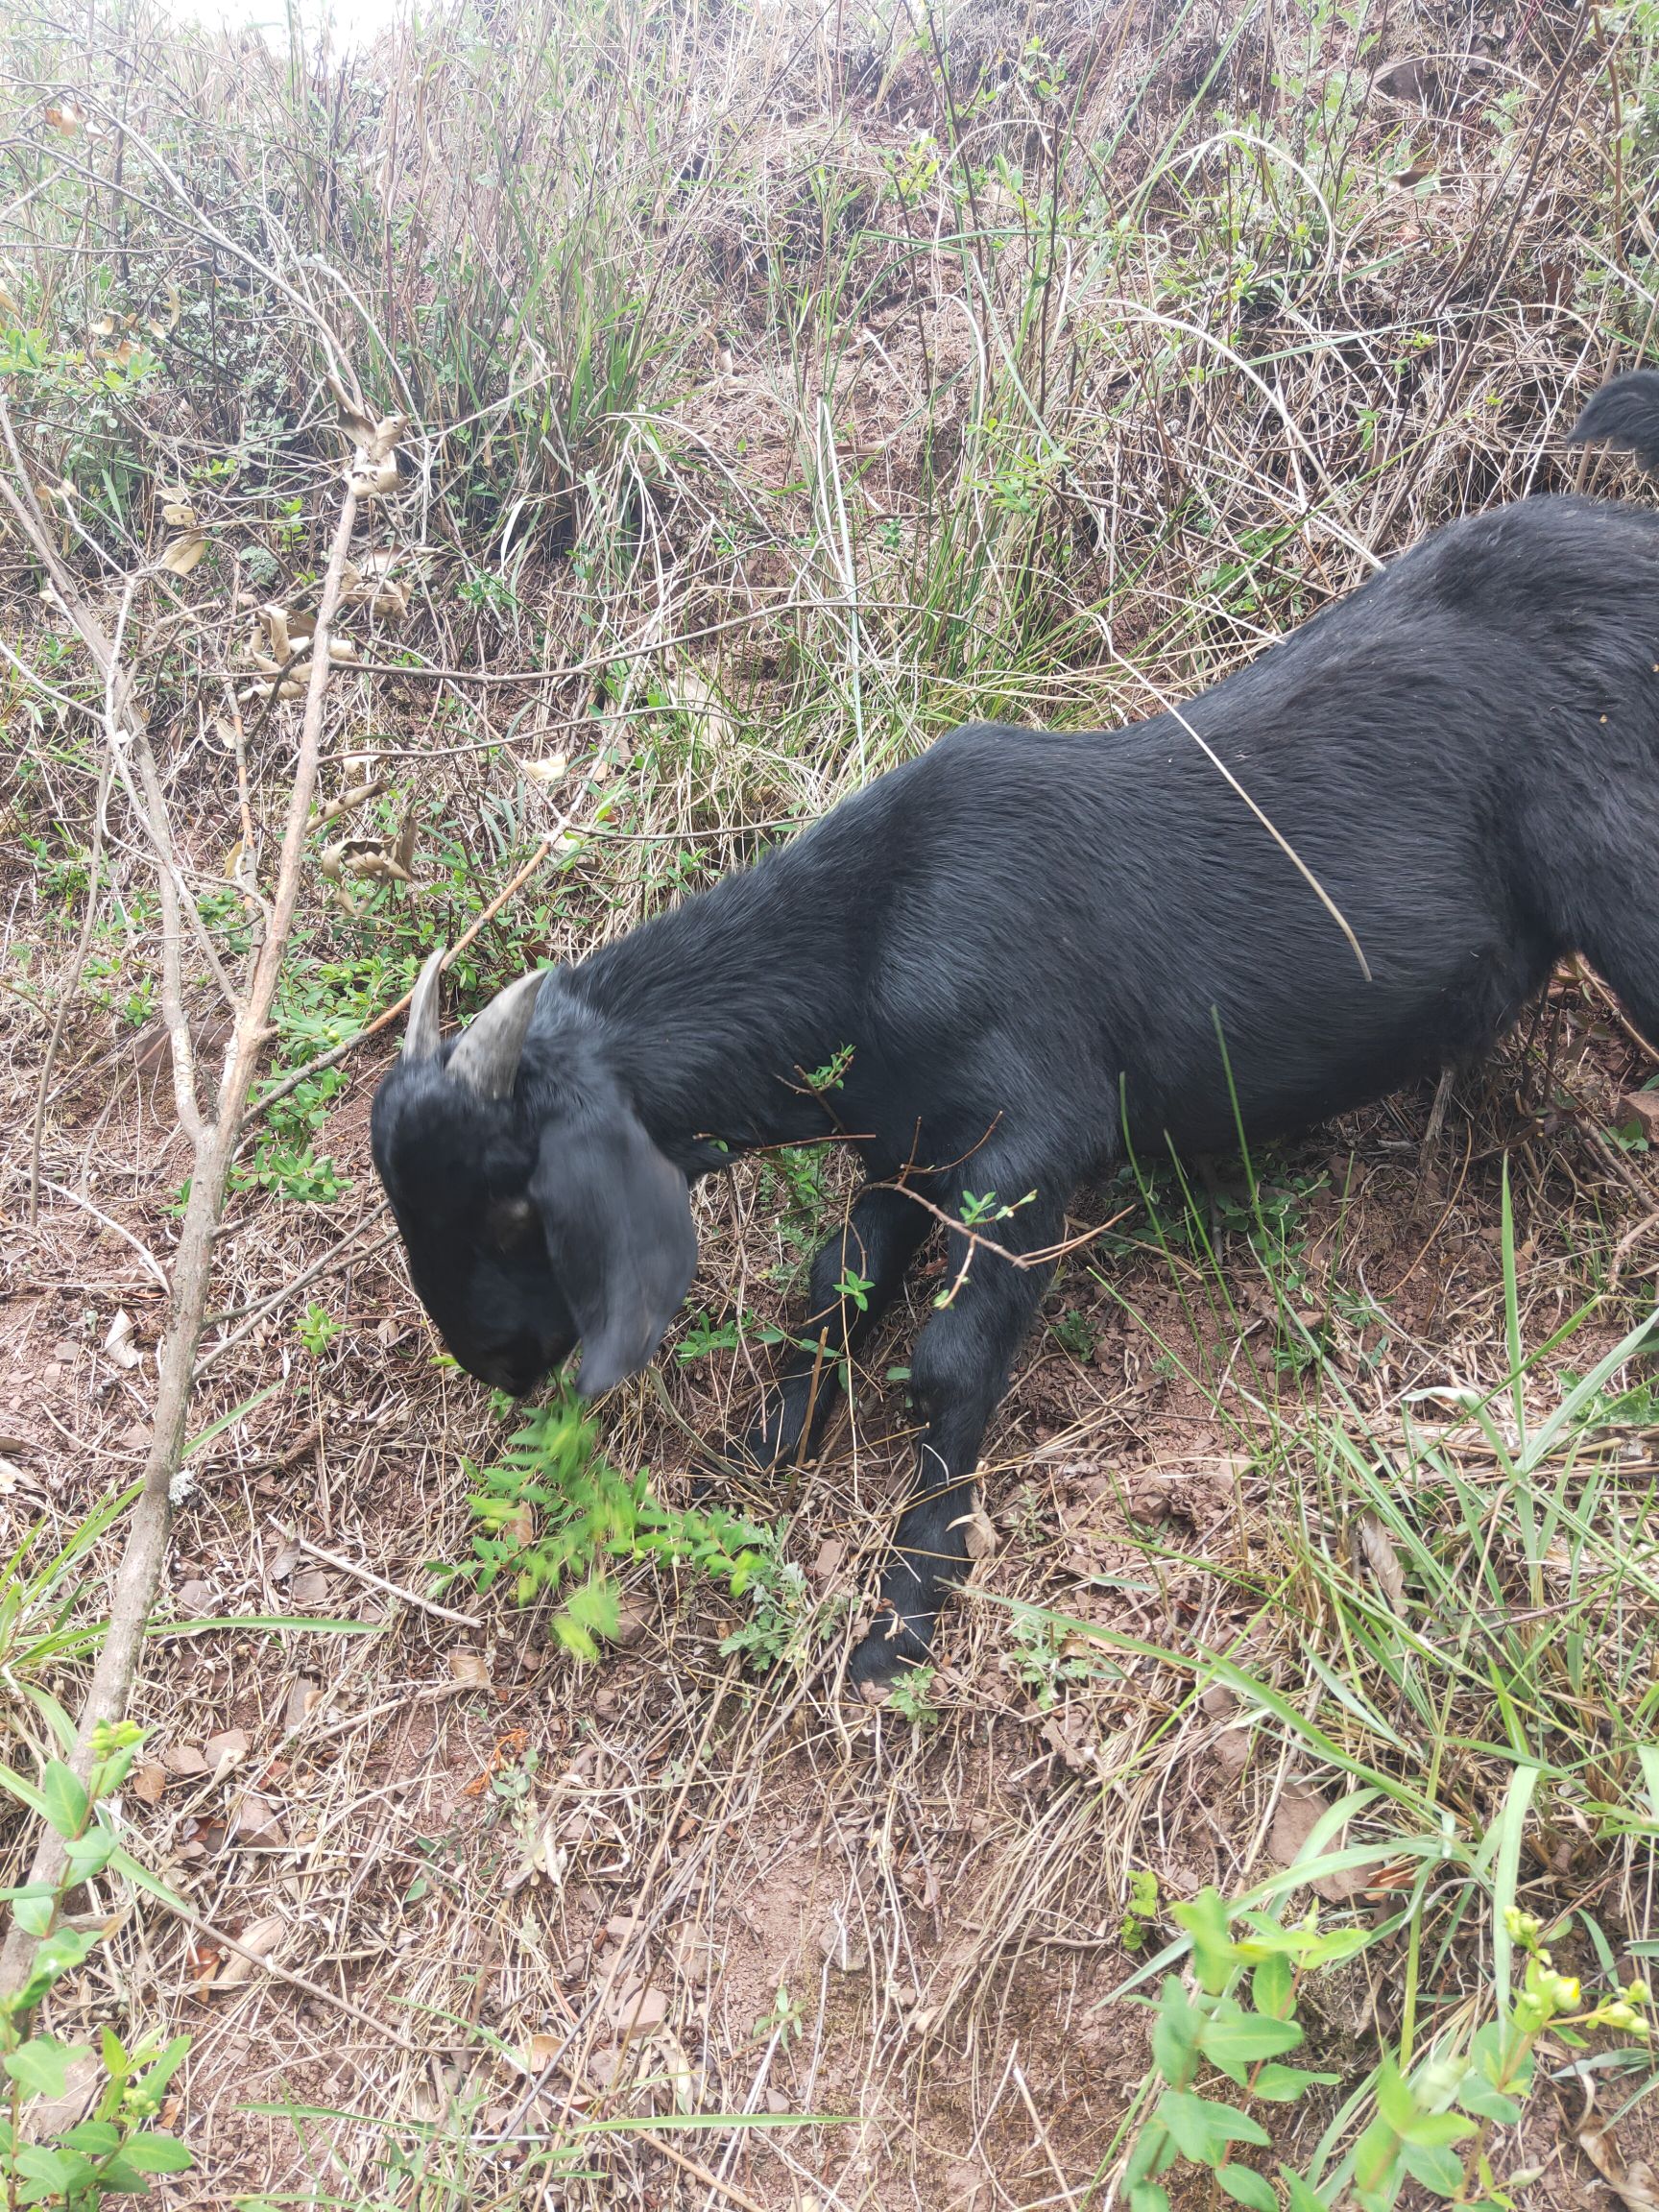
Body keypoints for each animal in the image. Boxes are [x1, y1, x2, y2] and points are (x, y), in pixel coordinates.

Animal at [369, 375, 1659, 1690]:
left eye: (517, 1204)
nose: (494, 1364)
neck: (878, 925)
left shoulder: (1033, 1138)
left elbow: (950, 1357)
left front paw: (906, 1605)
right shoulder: (907, 1141)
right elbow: (837, 1281)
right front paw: (771, 1438)